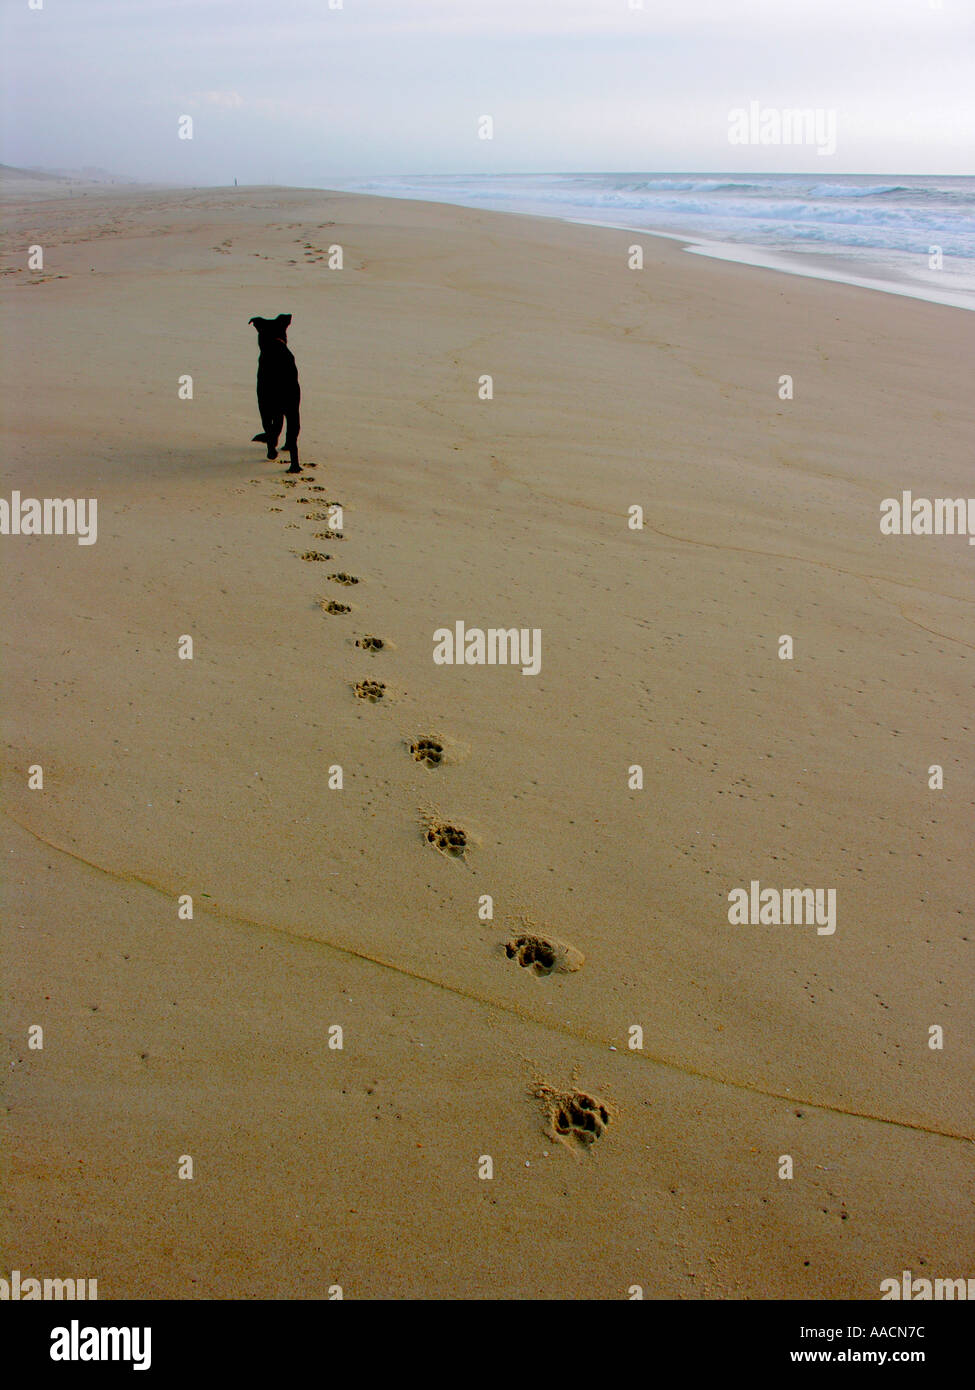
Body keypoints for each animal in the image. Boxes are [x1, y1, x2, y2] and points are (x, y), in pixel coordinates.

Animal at [247, 311, 300, 472]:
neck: (274, 343)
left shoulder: (265, 407)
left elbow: (270, 428)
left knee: (274, 429)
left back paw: (272, 452)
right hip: (292, 408)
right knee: (292, 434)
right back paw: (294, 466)